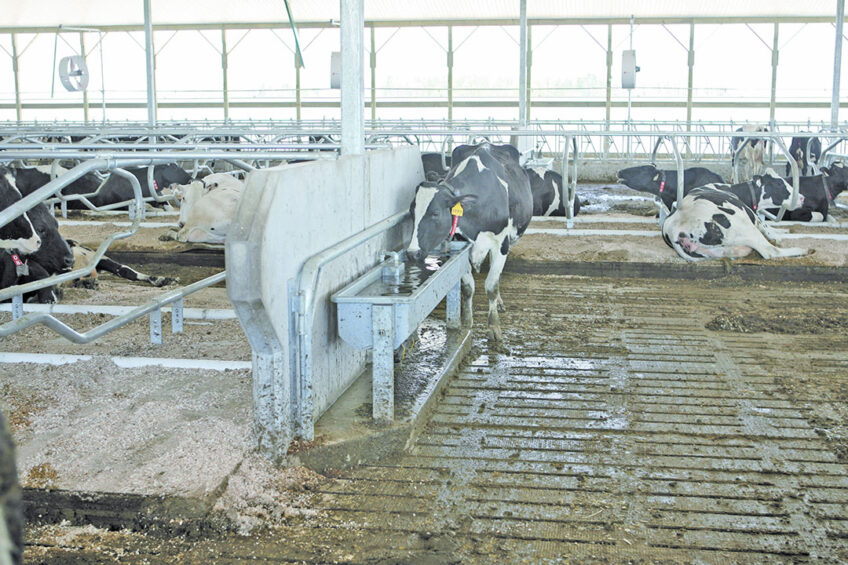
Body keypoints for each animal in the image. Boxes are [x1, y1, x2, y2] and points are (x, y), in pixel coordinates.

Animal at [664, 187, 808, 262]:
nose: (802, 198)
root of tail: (674, 227)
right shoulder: (753, 216)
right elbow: (766, 228)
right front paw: (779, 234)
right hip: (743, 224)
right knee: (769, 251)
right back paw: (803, 250)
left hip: (717, 250)